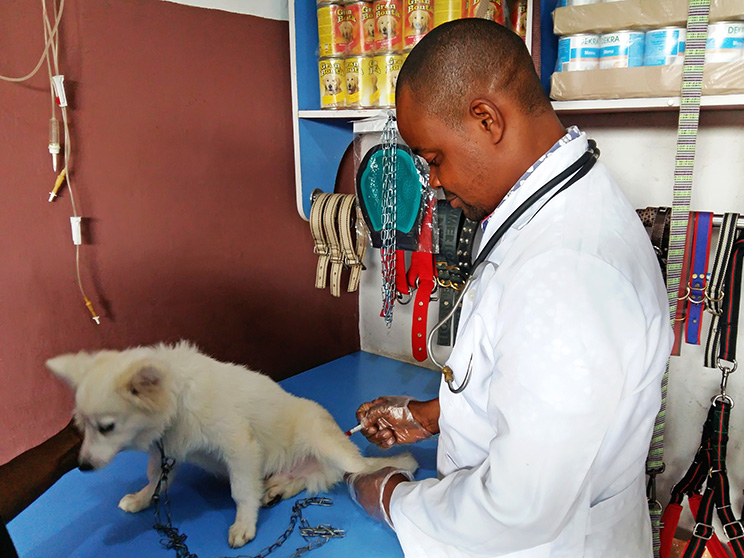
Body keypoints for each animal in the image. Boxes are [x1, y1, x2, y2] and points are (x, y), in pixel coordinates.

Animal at [46, 344, 418, 548]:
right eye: (80, 426)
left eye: (106, 427)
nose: (82, 466)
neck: (179, 402)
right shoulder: (165, 452)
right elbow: (155, 480)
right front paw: (141, 499)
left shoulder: (239, 447)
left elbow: (240, 492)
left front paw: (243, 525)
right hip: (303, 469)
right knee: (300, 479)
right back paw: (274, 489)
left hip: (329, 445)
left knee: (358, 467)